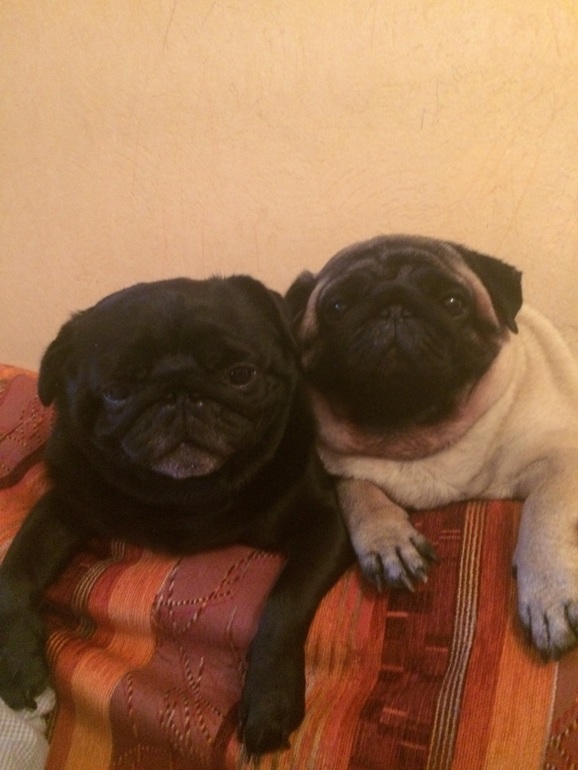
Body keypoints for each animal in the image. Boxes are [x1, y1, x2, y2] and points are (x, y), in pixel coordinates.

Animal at [0, 276, 352, 755]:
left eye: (240, 375)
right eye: (118, 390)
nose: (180, 392)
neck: (183, 493)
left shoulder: (323, 526)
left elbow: (285, 604)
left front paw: (270, 699)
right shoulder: (64, 505)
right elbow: (15, 571)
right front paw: (17, 661)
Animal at [286, 234, 578, 659]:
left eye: (453, 303)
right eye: (337, 307)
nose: (393, 303)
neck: (416, 432)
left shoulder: (562, 457)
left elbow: (544, 510)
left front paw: (548, 593)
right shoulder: (338, 467)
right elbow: (358, 491)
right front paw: (386, 538)